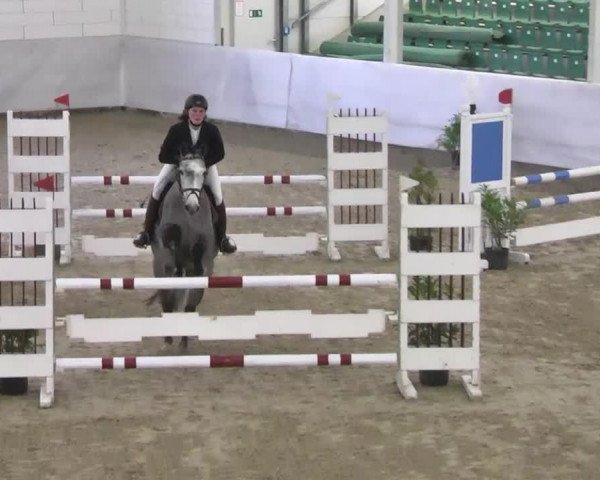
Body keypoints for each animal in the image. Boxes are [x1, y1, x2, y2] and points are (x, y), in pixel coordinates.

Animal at [146, 152, 217, 346]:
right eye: (182, 172)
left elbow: (200, 251)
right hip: (160, 268)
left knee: (190, 305)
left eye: (204, 173)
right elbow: (171, 238)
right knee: (167, 300)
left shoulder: (203, 250)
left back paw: (184, 339)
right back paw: (169, 338)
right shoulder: (166, 245)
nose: (192, 206)